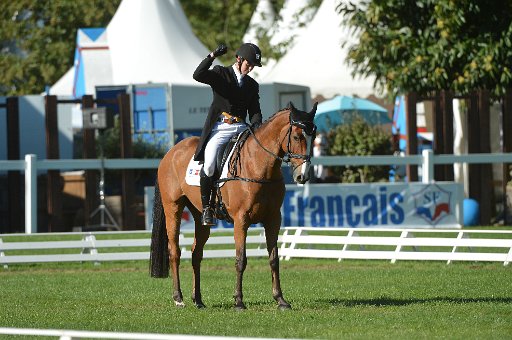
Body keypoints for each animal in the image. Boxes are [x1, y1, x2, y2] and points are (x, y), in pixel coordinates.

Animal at [149, 100, 316, 308]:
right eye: (296, 136)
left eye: (314, 136)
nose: (303, 176)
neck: (259, 165)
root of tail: (170, 152)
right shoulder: (241, 220)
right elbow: (240, 259)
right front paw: (238, 301)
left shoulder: (273, 219)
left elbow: (274, 258)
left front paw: (280, 300)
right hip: (173, 207)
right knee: (175, 252)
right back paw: (179, 298)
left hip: (200, 217)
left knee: (196, 254)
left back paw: (198, 300)